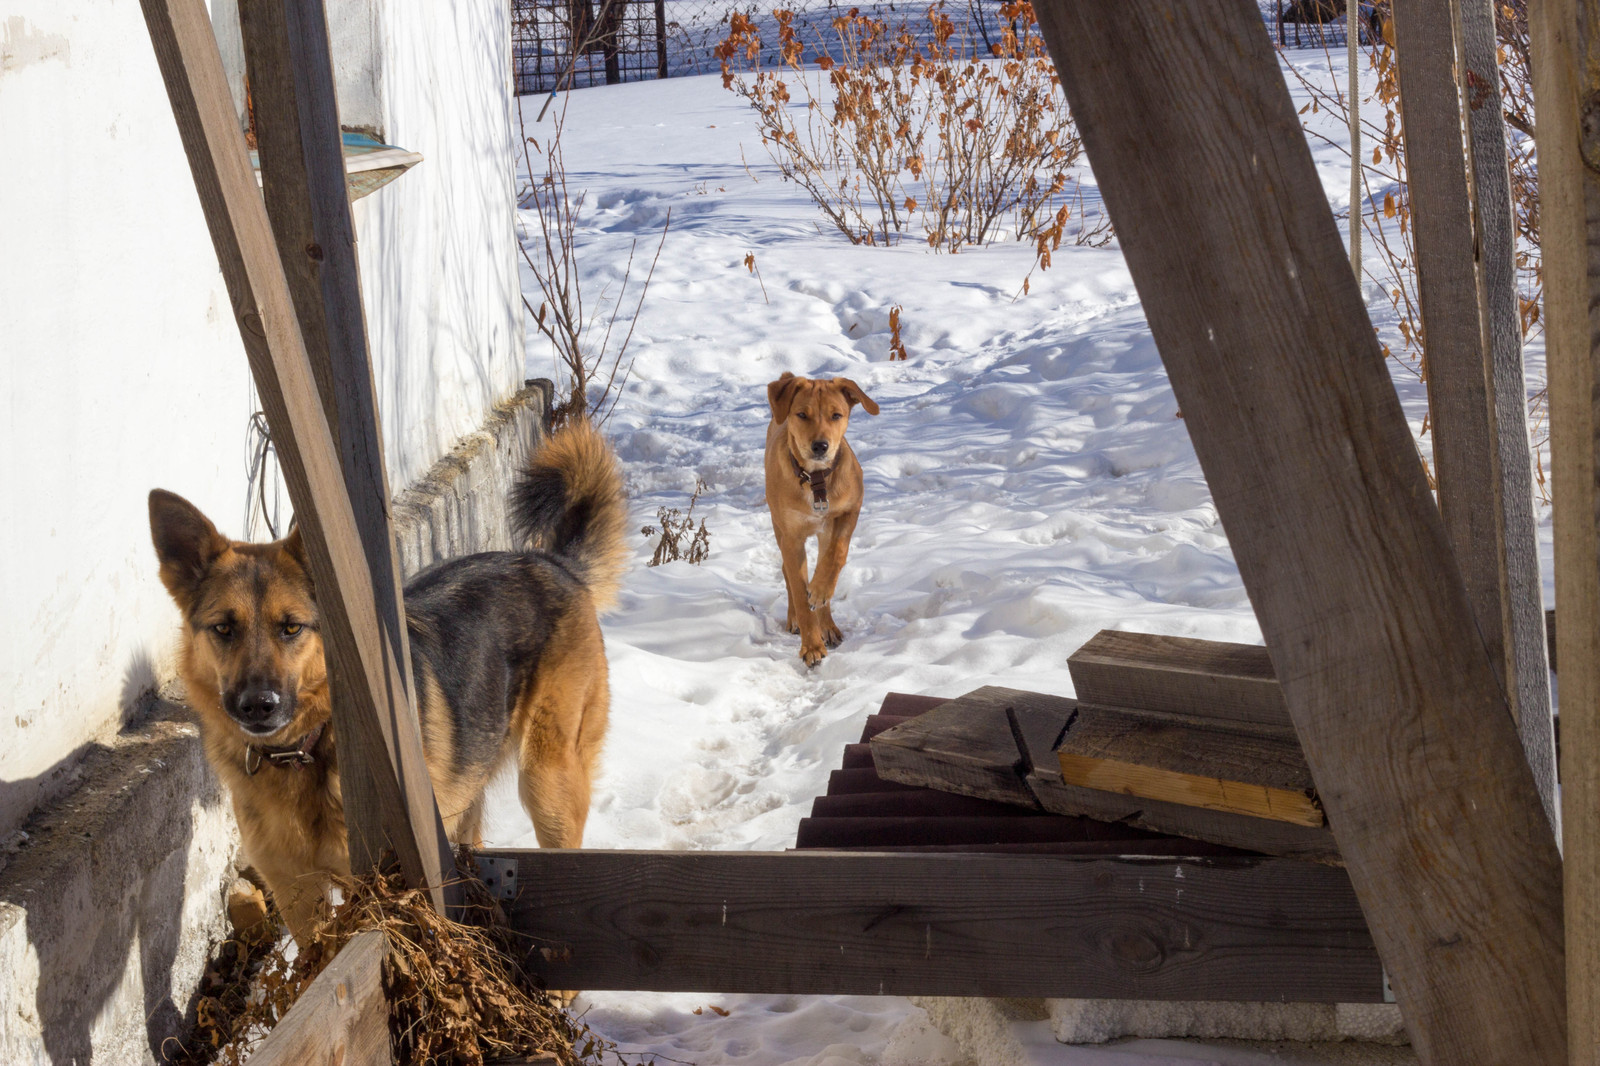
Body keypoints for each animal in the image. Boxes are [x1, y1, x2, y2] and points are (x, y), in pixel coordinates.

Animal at [147, 416, 627, 941]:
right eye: (223, 629)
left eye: (291, 627)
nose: (258, 705)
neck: (310, 747)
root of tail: (554, 563)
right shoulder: (298, 894)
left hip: (549, 783)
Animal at [764, 369, 883, 659]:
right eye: (801, 414)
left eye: (836, 415)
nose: (820, 446)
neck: (816, 481)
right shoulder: (792, 537)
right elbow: (798, 588)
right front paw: (811, 646)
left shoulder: (850, 510)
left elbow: (836, 555)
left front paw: (819, 592)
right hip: (778, 527)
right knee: (787, 574)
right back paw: (797, 619)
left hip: (824, 531)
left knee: (824, 564)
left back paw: (827, 622)